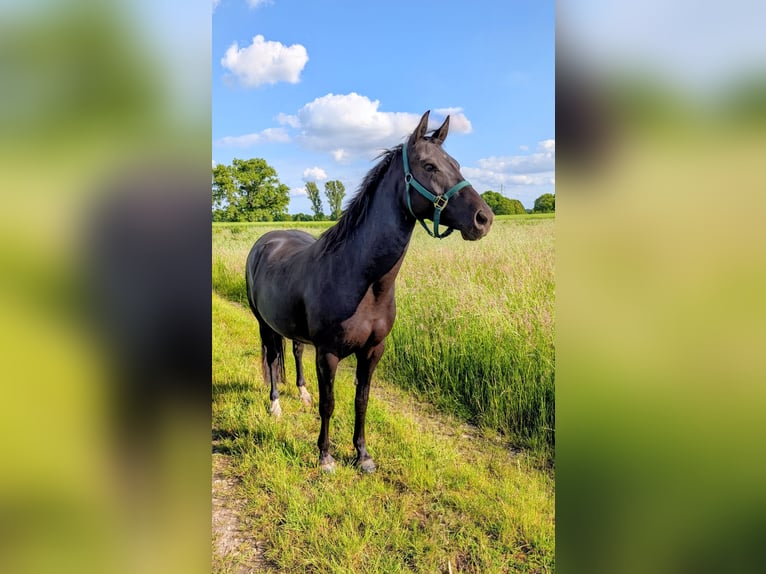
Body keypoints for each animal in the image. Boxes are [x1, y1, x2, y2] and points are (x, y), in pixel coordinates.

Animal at [245, 110, 493, 473]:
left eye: (456, 164)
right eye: (430, 166)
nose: (484, 218)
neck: (363, 281)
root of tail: (266, 240)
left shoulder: (374, 350)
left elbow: (361, 401)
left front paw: (362, 455)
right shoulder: (328, 353)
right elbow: (330, 403)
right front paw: (325, 457)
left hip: (292, 329)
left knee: (295, 351)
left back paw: (302, 395)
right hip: (264, 324)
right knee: (272, 357)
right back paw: (275, 405)